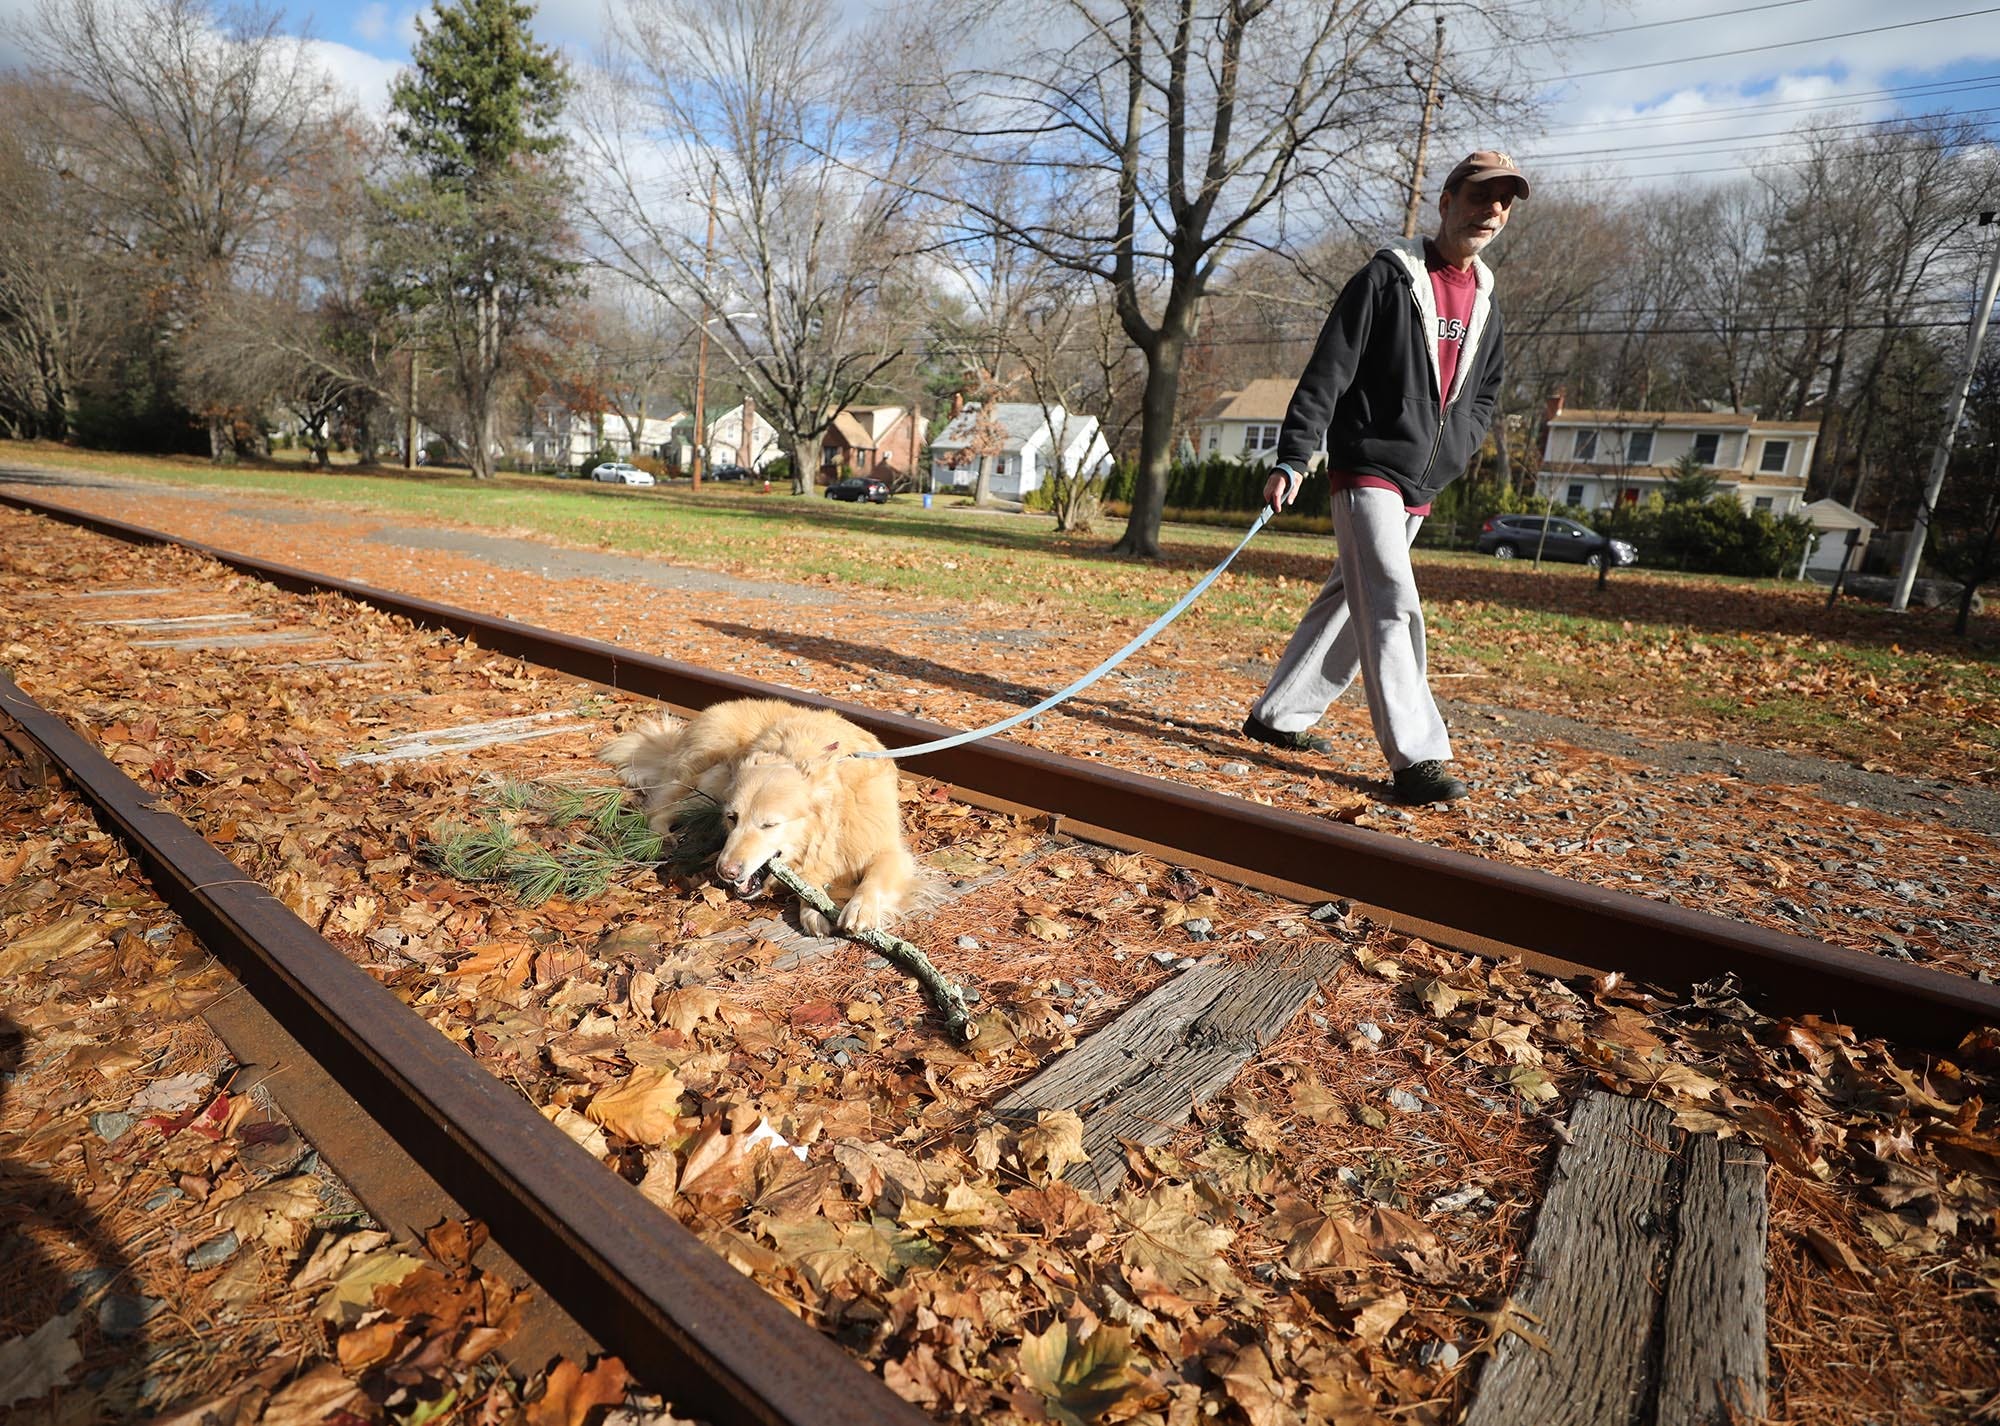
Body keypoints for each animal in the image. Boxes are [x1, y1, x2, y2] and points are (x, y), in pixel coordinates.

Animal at [592, 700, 908, 936]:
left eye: (769, 825)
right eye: (733, 818)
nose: (725, 872)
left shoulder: (886, 847)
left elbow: (876, 876)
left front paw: (859, 908)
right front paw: (816, 907)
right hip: (710, 785)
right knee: (658, 808)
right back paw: (663, 838)